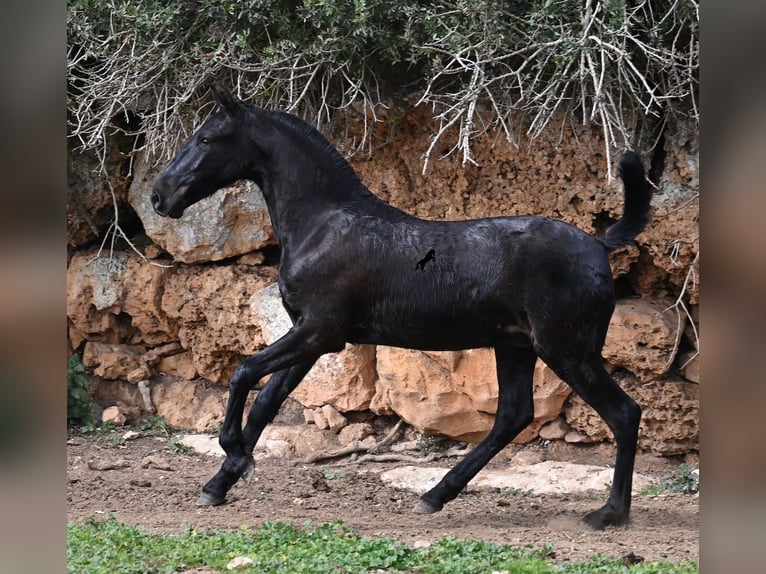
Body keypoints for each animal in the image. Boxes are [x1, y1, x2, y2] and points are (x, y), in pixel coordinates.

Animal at [152, 85, 656, 532]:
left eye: (206, 138)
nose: (160, 195)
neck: (324, 225)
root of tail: (598, 245)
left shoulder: (318, 332)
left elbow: (242, 374)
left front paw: (235, 454)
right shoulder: (310, 340)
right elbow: (264, 404)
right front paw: (219, 483)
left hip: (566, 350)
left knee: (624, 413)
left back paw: (609, 514)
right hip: (516, 346)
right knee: (513, 416)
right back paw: (435, 495)